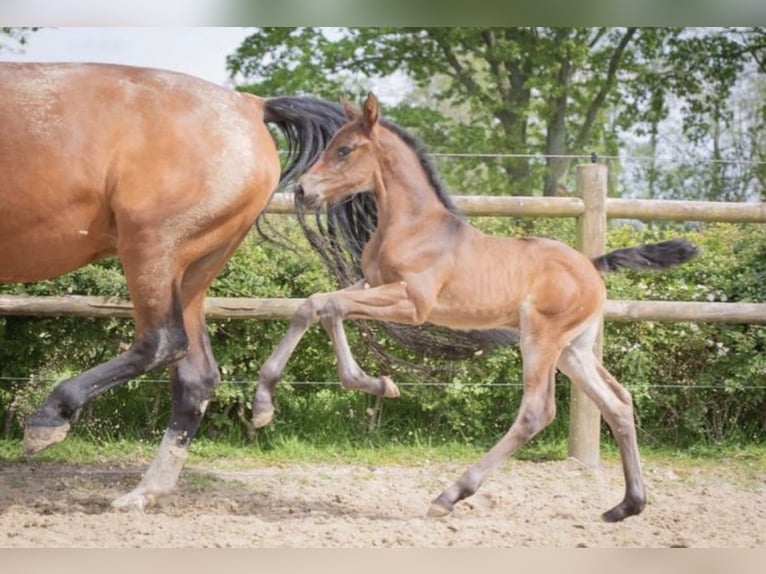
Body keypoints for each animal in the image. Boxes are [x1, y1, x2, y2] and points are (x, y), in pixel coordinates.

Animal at [0, 63, 344, 512]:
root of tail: (251, 105)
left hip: (151, 246)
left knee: (161, 343)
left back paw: (50, 419)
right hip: (193, 272)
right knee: (196, 376)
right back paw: (146, 492)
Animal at [255, 92, 700, 524]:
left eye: (345, 149)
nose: (302, 191)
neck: (413, 226)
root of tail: (592, 266)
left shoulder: (413, 303)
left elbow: (331, 307)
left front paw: (376, 383)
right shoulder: (374, 285)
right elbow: (313, 305)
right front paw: (263, 403)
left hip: (541, 339)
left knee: (537, 411)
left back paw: (450, 495)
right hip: (573, 350)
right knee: (618, 403)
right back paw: (627, 505)